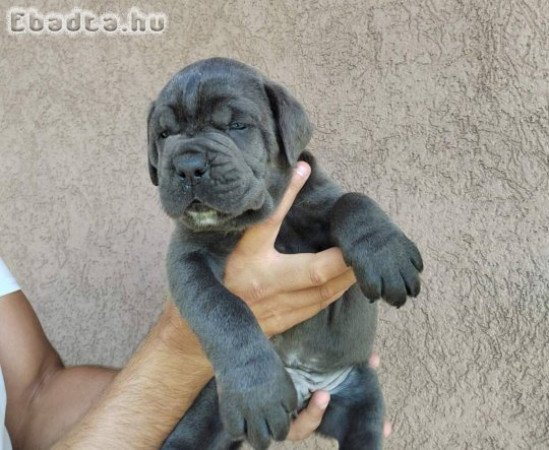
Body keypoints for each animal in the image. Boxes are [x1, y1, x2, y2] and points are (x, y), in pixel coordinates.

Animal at [147, 59, 424, 450]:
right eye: (164, 135)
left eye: (237, 126)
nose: (187, 164)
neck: (260, 216)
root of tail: (304, 387)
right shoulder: (188, 257)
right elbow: (221, 309)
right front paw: (258, 393)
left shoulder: (317, 201)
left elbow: (352, 201)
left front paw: (386, 255)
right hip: (208, 408)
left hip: (362, 399)